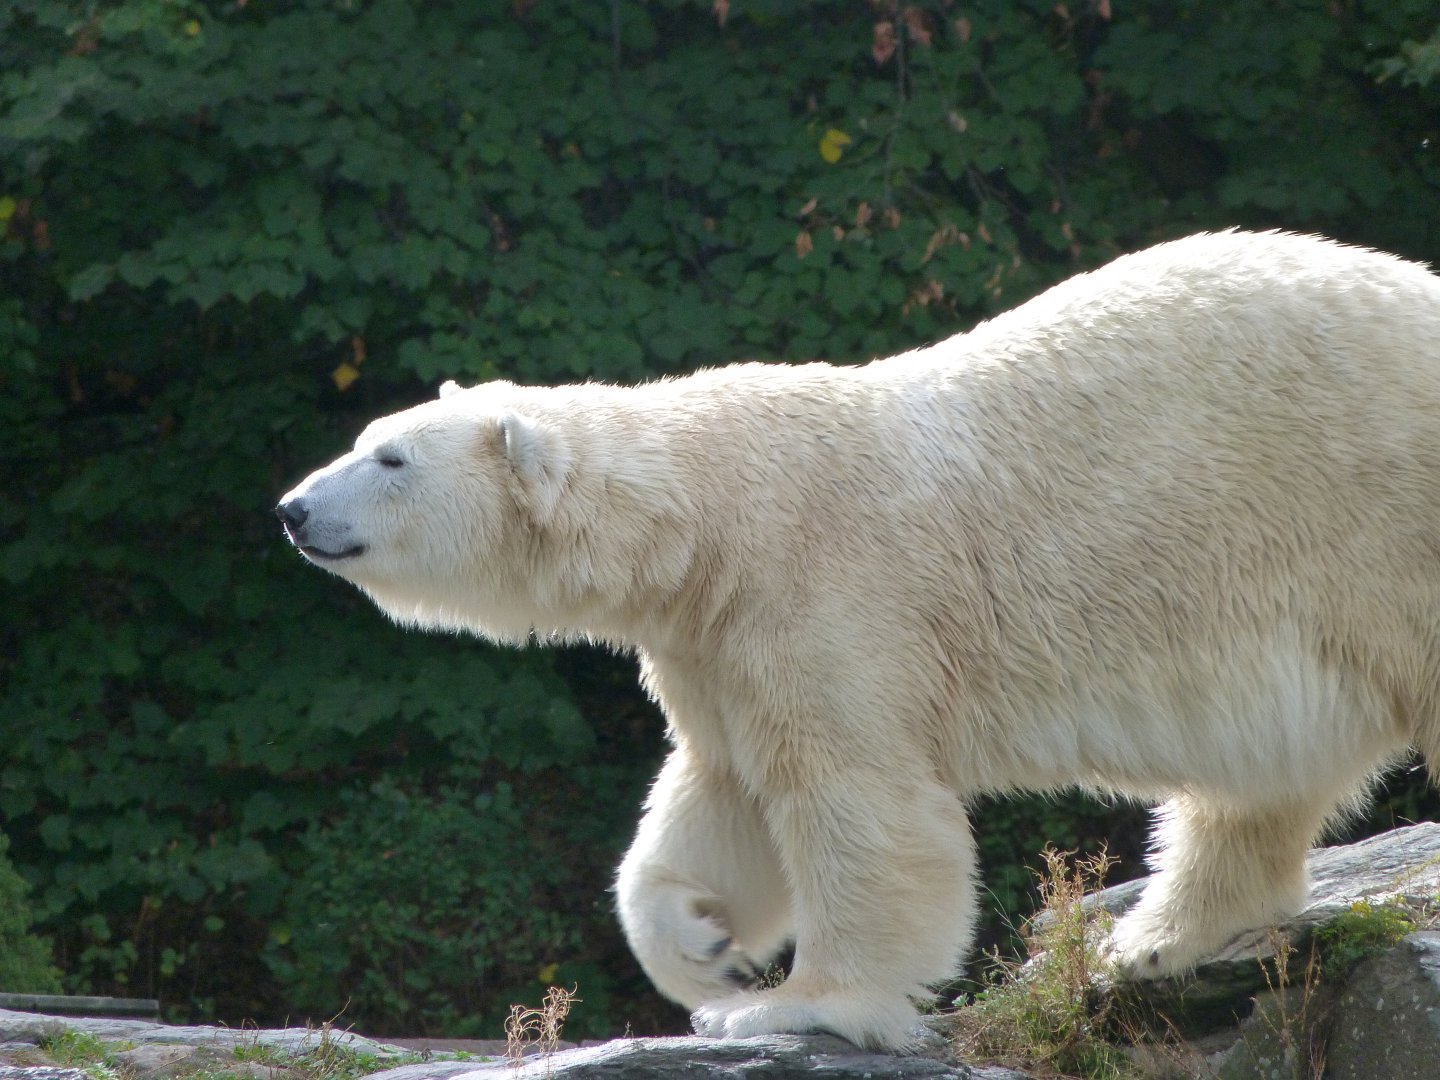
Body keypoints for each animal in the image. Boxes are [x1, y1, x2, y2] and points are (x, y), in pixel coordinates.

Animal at [277, 230, 1440, 1050]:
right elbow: (721, 797)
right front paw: (704, 949)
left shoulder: (825, 589)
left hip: (1380, 519)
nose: (292, 509)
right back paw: (1153, 944)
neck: (707, 512)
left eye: (388, 458)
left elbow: (855, 801)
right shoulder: (716, 638)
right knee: (1256, 782)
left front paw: (797, 1003)